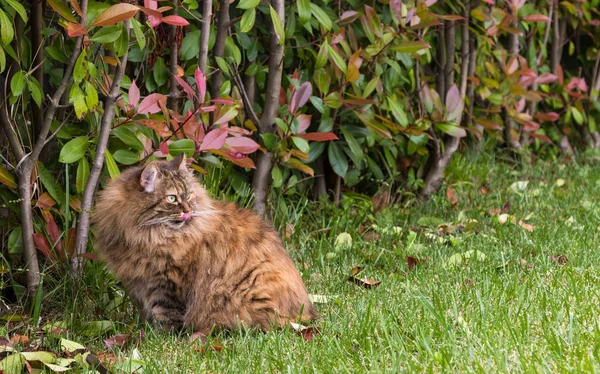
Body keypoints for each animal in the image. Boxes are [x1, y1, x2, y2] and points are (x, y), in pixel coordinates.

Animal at [92, 153, 318, 334]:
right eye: (172, 198)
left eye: (189, 195)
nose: (187, 210)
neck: (149, 235)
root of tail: (307, 313)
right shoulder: (138, 283)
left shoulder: (166, 283)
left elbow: (166, 315)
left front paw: (160, 338)